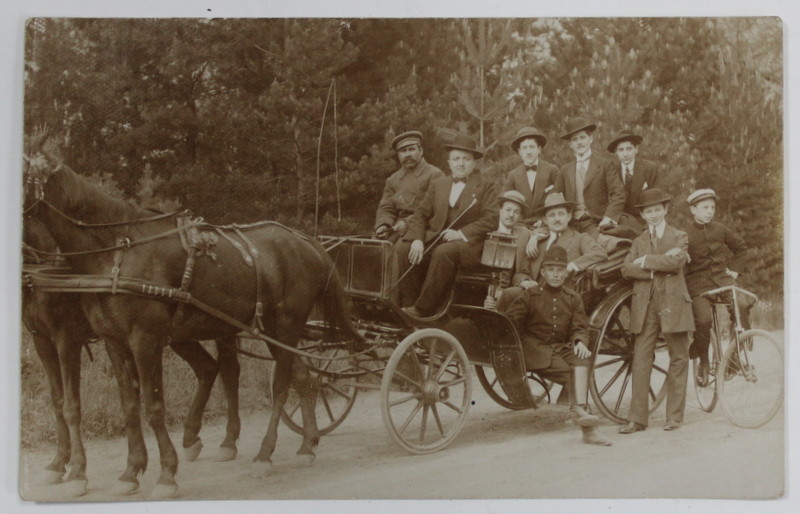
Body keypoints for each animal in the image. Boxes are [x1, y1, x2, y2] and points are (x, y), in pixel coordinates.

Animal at [24, 218, 244, 494]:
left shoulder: (66, 338)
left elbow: (71, 406)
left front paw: (77, 473)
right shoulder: (41, 339)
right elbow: (57, 401)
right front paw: (57, 464)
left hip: (221, 328)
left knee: (229, 371)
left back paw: (229, 441)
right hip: (181, 335)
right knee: (207, 368)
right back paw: (191, 437)